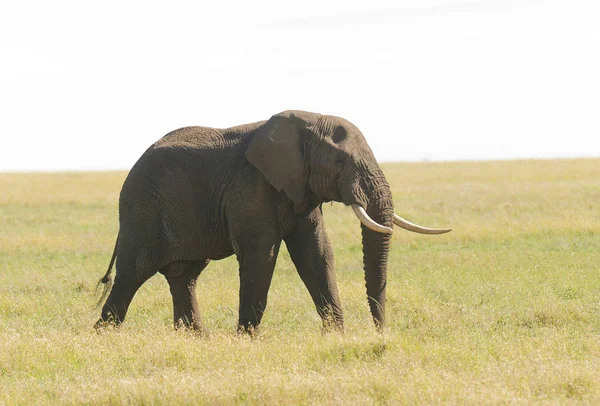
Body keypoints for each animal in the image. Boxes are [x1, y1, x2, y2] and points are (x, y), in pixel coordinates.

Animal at [95, 110, 450, 334]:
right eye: (339, 162)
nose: (381, 334)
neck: (304, 124)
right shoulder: (250, 188)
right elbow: (261, 255)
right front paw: (246, 340)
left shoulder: (301, 189)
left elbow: (317, 254)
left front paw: (337, 337)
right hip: (143, 210)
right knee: (133, 273)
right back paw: (104, 336)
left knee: (184, 276)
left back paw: (197, 339)